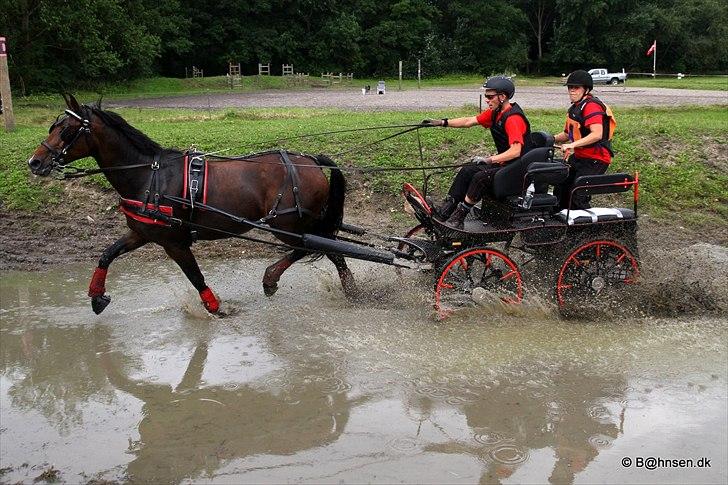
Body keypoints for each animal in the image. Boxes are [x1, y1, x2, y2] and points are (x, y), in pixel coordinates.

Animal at [27, 94, 356, 314]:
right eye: (52, 127)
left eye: (66, 130)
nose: (35, 162)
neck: (149, 176)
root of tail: (311, 161)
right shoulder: (142, 233)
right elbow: (106, 255)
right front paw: (97, 296)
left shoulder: (174, 242)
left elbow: (195, 276)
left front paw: (216, 307)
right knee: (331, 250)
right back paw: (347, 289)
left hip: (288, 225)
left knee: (314, 248)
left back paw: (274, 279)